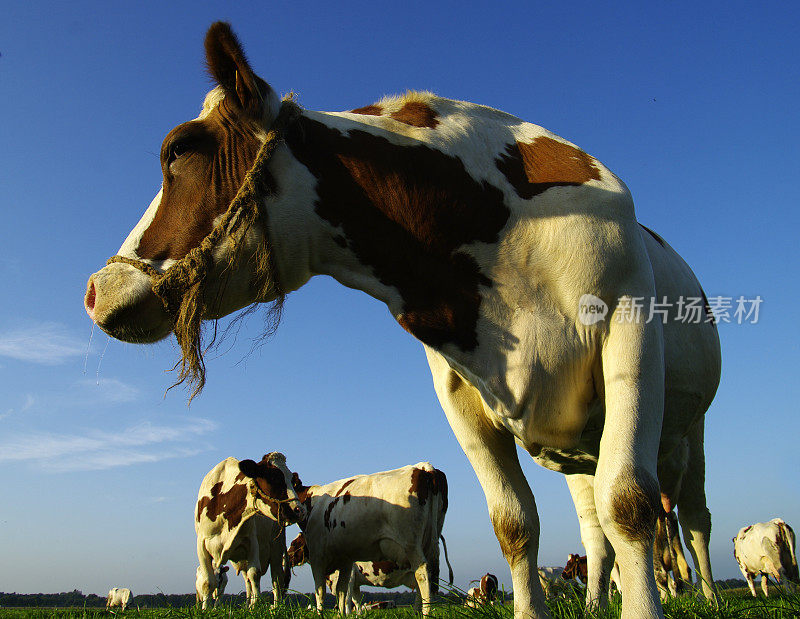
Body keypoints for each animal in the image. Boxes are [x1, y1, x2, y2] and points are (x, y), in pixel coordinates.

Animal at [195, 452, 304, 608]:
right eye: (274, 478)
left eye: (291, 480)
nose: (299, 510)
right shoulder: (202, 544)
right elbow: (208, 581)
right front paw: (206, 608)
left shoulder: (252, 542)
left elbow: (255, 574)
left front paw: (257, 606)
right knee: (248, 581)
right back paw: (249, 605)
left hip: (276, 548)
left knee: (276, 579)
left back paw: (275, 606)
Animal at [286, 460, 450, 616]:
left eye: (294, 543)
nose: (288, 557)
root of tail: (423, 467)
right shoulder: (346, 560)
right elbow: (343, 592)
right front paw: (342, 615)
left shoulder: (318, 556)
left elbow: (321, 592)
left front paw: (321, 613)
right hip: (431, 538)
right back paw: (417, 612)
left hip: (410, 543)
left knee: (422, 574)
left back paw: (425, 613)